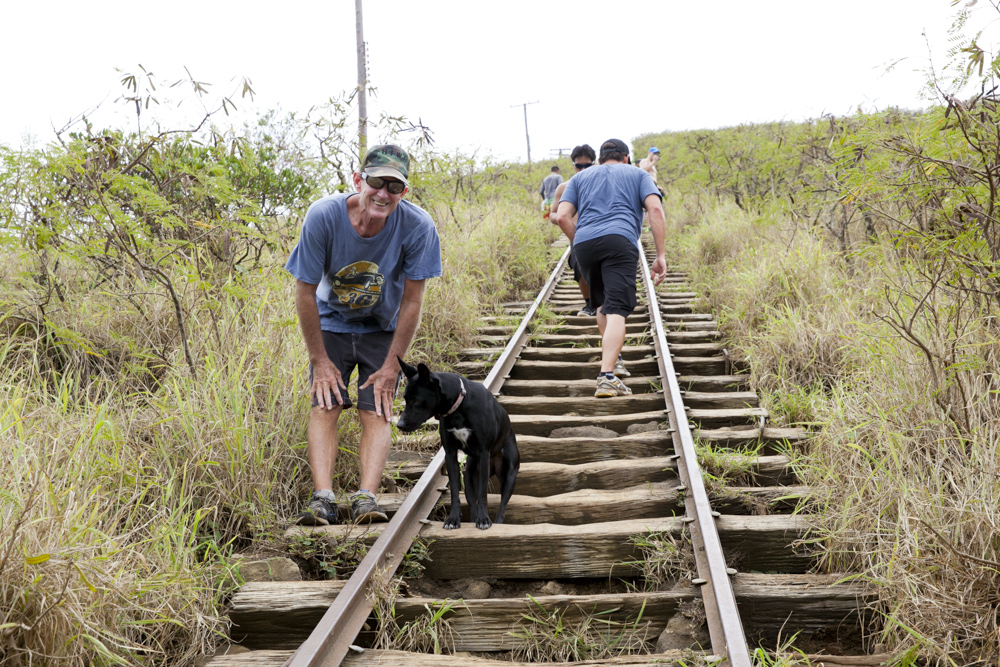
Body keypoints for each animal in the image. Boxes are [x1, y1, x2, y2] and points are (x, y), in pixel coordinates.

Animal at [394, 358, 520, 528]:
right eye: (406, 399)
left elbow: (483, 495)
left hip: (509, 476)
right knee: (472, 504)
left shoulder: (484, 453)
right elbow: (454, 491)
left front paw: (484, 519)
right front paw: (453, 519)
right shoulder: (450, 454)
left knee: (502, 506)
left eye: (417, 400)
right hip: (470, 478)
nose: (399, 425)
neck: (458, 408)